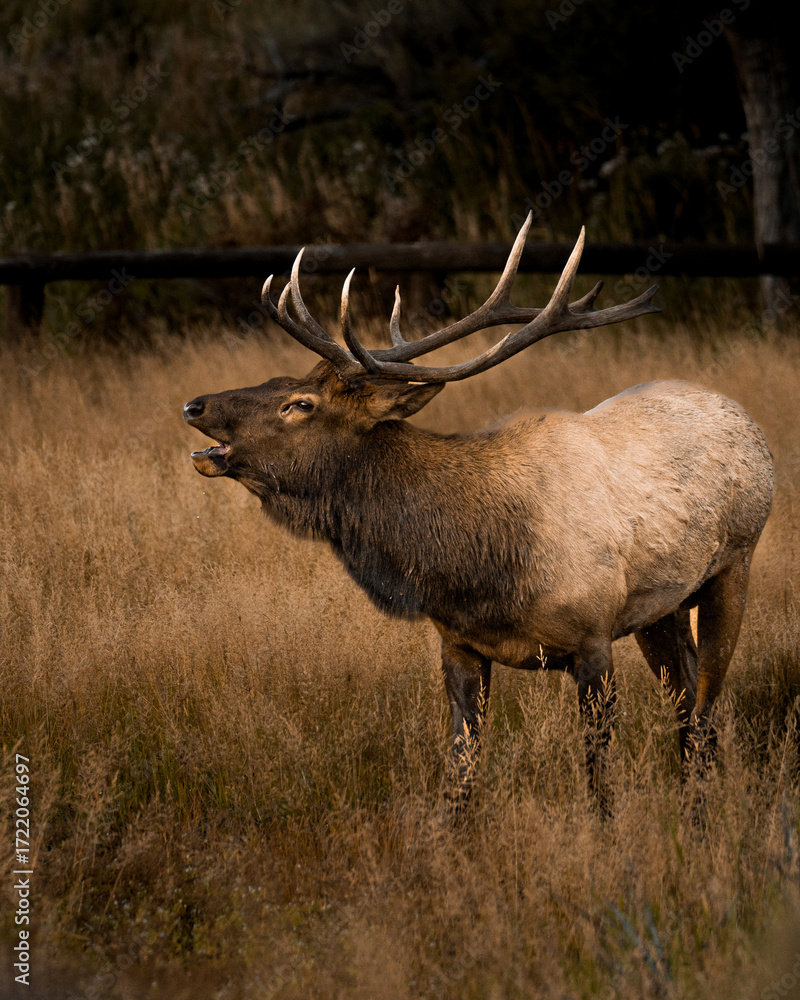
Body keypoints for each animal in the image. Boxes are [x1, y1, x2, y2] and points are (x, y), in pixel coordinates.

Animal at [183, 214, 773, 814]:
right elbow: (460, 774)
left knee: (704, 712)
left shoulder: (593, 636)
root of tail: (743, 416)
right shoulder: (459, 645)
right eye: (279, 381)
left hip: (736, 561)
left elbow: (597, 773)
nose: (194, 405)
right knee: (690, 705)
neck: (477, 569)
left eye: (299, 404)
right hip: (662, 608)